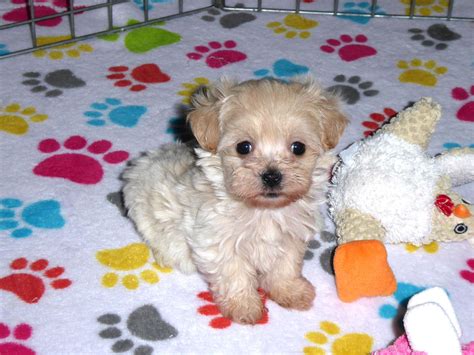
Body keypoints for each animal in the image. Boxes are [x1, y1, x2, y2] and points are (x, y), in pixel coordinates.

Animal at [122, 78, 348, 326]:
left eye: (298, 147)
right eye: (243, 147)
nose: (272, 176)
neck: (264, 210)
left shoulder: (291, 236)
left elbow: (285, 267)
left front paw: (291, 291)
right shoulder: (217, 241)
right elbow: (234, 273)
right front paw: (244, 307)